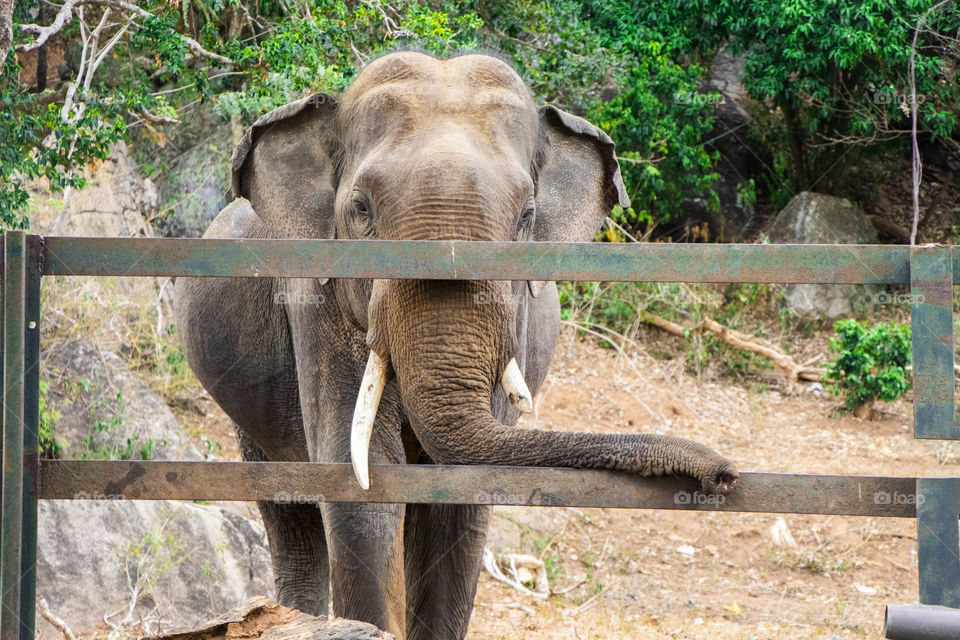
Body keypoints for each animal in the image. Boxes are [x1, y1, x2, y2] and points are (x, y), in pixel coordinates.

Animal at [174, 50, 738, 640]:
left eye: (527, 217)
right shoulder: (315, 303)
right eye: (361, 210)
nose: (723, 474)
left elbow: (458, 496)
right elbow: (364, 484)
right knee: (287, 503)